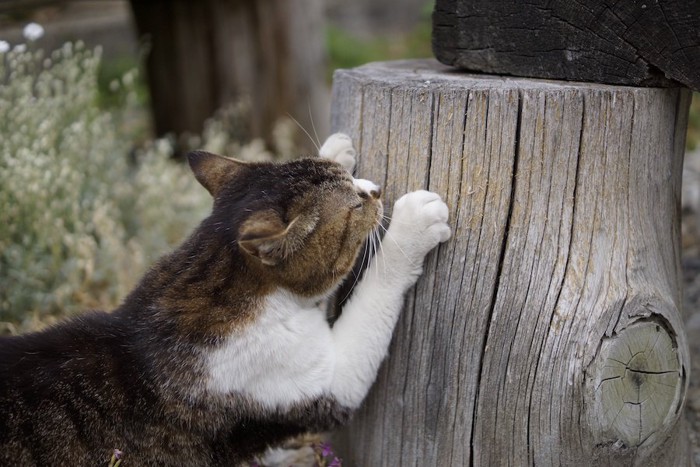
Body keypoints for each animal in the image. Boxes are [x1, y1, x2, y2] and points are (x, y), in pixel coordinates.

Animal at [0, 133, 452, 466]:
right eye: (357, 205)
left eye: (349, 180)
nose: (375, 188)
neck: (212, 281)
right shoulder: (318, 382)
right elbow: (371, 296)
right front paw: (414, 223)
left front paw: (335, 148)